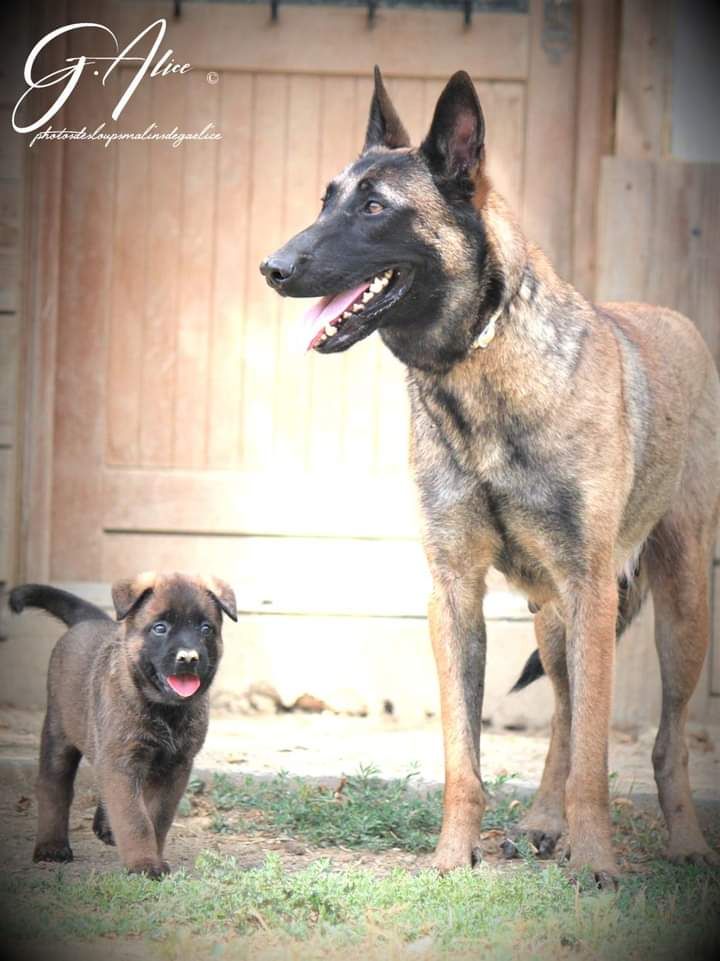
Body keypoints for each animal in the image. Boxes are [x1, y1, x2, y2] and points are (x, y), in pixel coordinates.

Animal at [9, 568, 236, 876]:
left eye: (206, 629)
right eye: (160, 628)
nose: (189, 658)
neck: (164, 709)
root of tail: (90, 620)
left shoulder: (174, 768)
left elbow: (156, 818)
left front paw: (152, 856)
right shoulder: (122, 760)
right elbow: (135, 818)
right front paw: (144, 864)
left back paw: (104, 827)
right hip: (59, 733)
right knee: (53, 786)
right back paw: (51, 846)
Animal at [262, 67, 720, 884]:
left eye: (375, 208)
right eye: (326, 200)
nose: (273, 268)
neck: (477, 368)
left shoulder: (590, 584)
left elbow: (597, 759)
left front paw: (595, 863)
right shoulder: (455, 595)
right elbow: (465, 758)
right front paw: (453, 857)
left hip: (677, 605)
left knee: (664, 737)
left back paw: (682, 841)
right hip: (555, 614)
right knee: (567, 711)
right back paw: (544, 820)